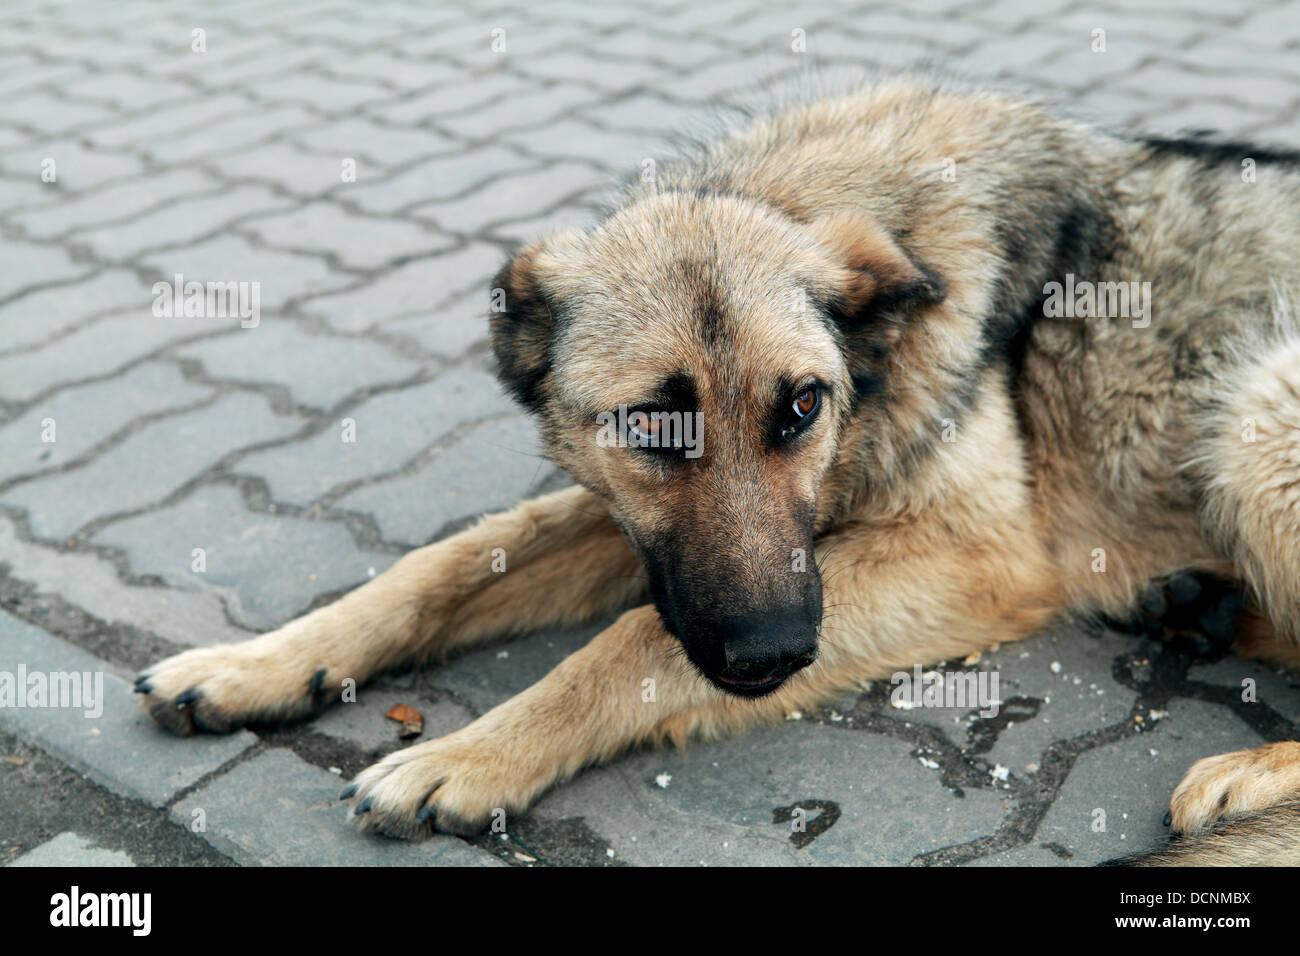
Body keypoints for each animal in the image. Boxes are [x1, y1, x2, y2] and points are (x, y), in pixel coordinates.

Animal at [137, 76, 1300, 868]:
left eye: (802, 407)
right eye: (651, 424)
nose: (775, 652)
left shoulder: (974, 555)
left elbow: (631, 641)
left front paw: (468, 753)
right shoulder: (638, 531)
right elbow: (443, 565)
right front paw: (263, 661)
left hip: (1258, 408)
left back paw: (1249, 763)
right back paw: (1200, 607)